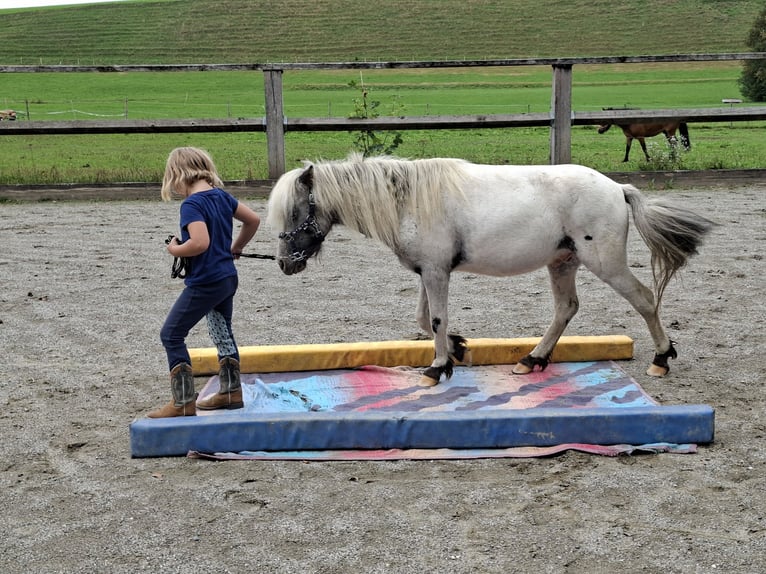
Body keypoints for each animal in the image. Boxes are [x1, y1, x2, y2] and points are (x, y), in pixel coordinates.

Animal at [267, 153, 714, 385]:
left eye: (296, 211)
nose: (285, 264)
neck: (409, 200)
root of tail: (617, 188)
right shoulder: (429, 272)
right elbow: (424, 319)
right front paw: (458, 348)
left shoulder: (436, 272)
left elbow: (435, 318)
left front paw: (437, 367)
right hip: (563, 263)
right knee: (566, 308)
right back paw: (532, 359)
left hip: (605, 263)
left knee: (644, 299)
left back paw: (661, 358)